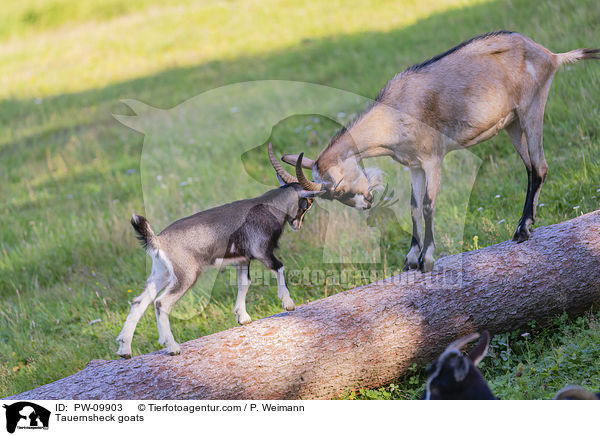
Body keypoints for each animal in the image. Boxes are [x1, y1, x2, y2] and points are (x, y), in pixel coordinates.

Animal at [114, 145, 316, 356]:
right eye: (308, 203)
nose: (298, 225)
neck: (269, 207)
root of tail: (158, 240)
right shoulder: (262, 251)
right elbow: (279, 267)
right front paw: (288, 303)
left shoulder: (242, 259)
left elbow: (244, 283)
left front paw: (243, 317)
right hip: (186, 276)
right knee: (161, 303)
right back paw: (172, 347)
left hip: (161, 274)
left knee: (139, 302)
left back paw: (125, 350)